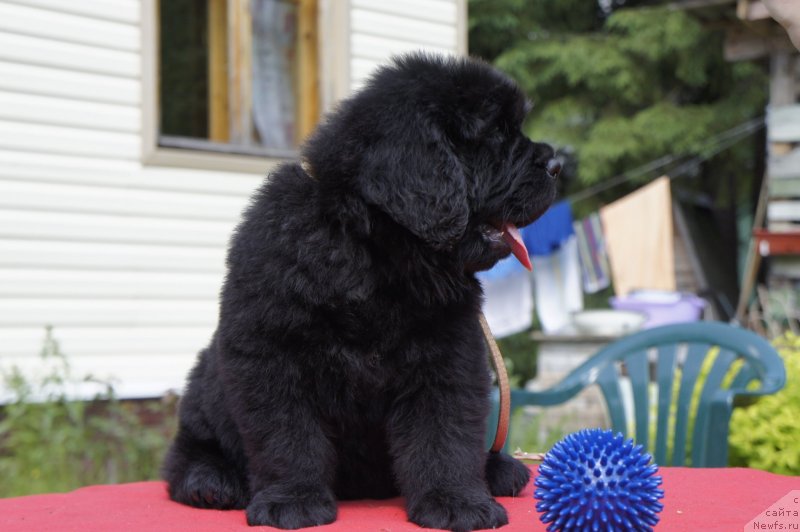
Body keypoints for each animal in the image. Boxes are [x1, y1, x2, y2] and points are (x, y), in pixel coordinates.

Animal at [164, 52, 556, 528]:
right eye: (496, 134)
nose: (557, 165)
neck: (375, 251)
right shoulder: (271, 355)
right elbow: (287, 436)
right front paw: (292, 500)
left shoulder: (448, 356)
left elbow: (444, 434)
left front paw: (455, 501)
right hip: (205, 389)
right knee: (184, 455)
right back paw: (209, 480)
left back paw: (500, 469)